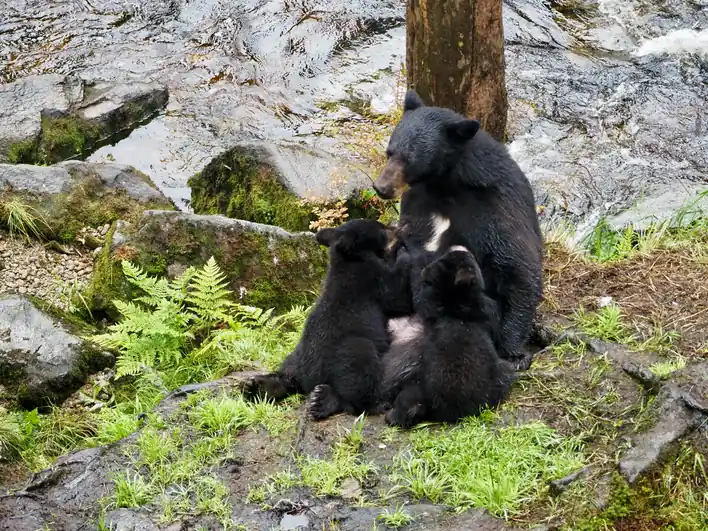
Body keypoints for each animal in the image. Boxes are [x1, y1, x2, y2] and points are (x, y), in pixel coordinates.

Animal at [242, 218, 410, 420]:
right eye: (383, 229)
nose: (398, 226)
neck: (346, 259)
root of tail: (309, 378)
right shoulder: (370, 278)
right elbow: (397, 295)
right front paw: (404, 254)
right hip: (350, 351)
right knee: (356, 380)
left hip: (295, 356)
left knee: (288, 374)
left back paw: (257, 387)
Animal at [373, 89, 544, 370]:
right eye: (390, 152)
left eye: (409, 160)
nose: (381, 187)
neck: (445, 185)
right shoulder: (417, 204)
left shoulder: (492, 207)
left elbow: (517, 264)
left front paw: (514, 353)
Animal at [383, 246, 516, 428]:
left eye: (441, 263)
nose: (425, 271)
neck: (459, 303)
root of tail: (454, 411)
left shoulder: (430, 300)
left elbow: (419, 293)